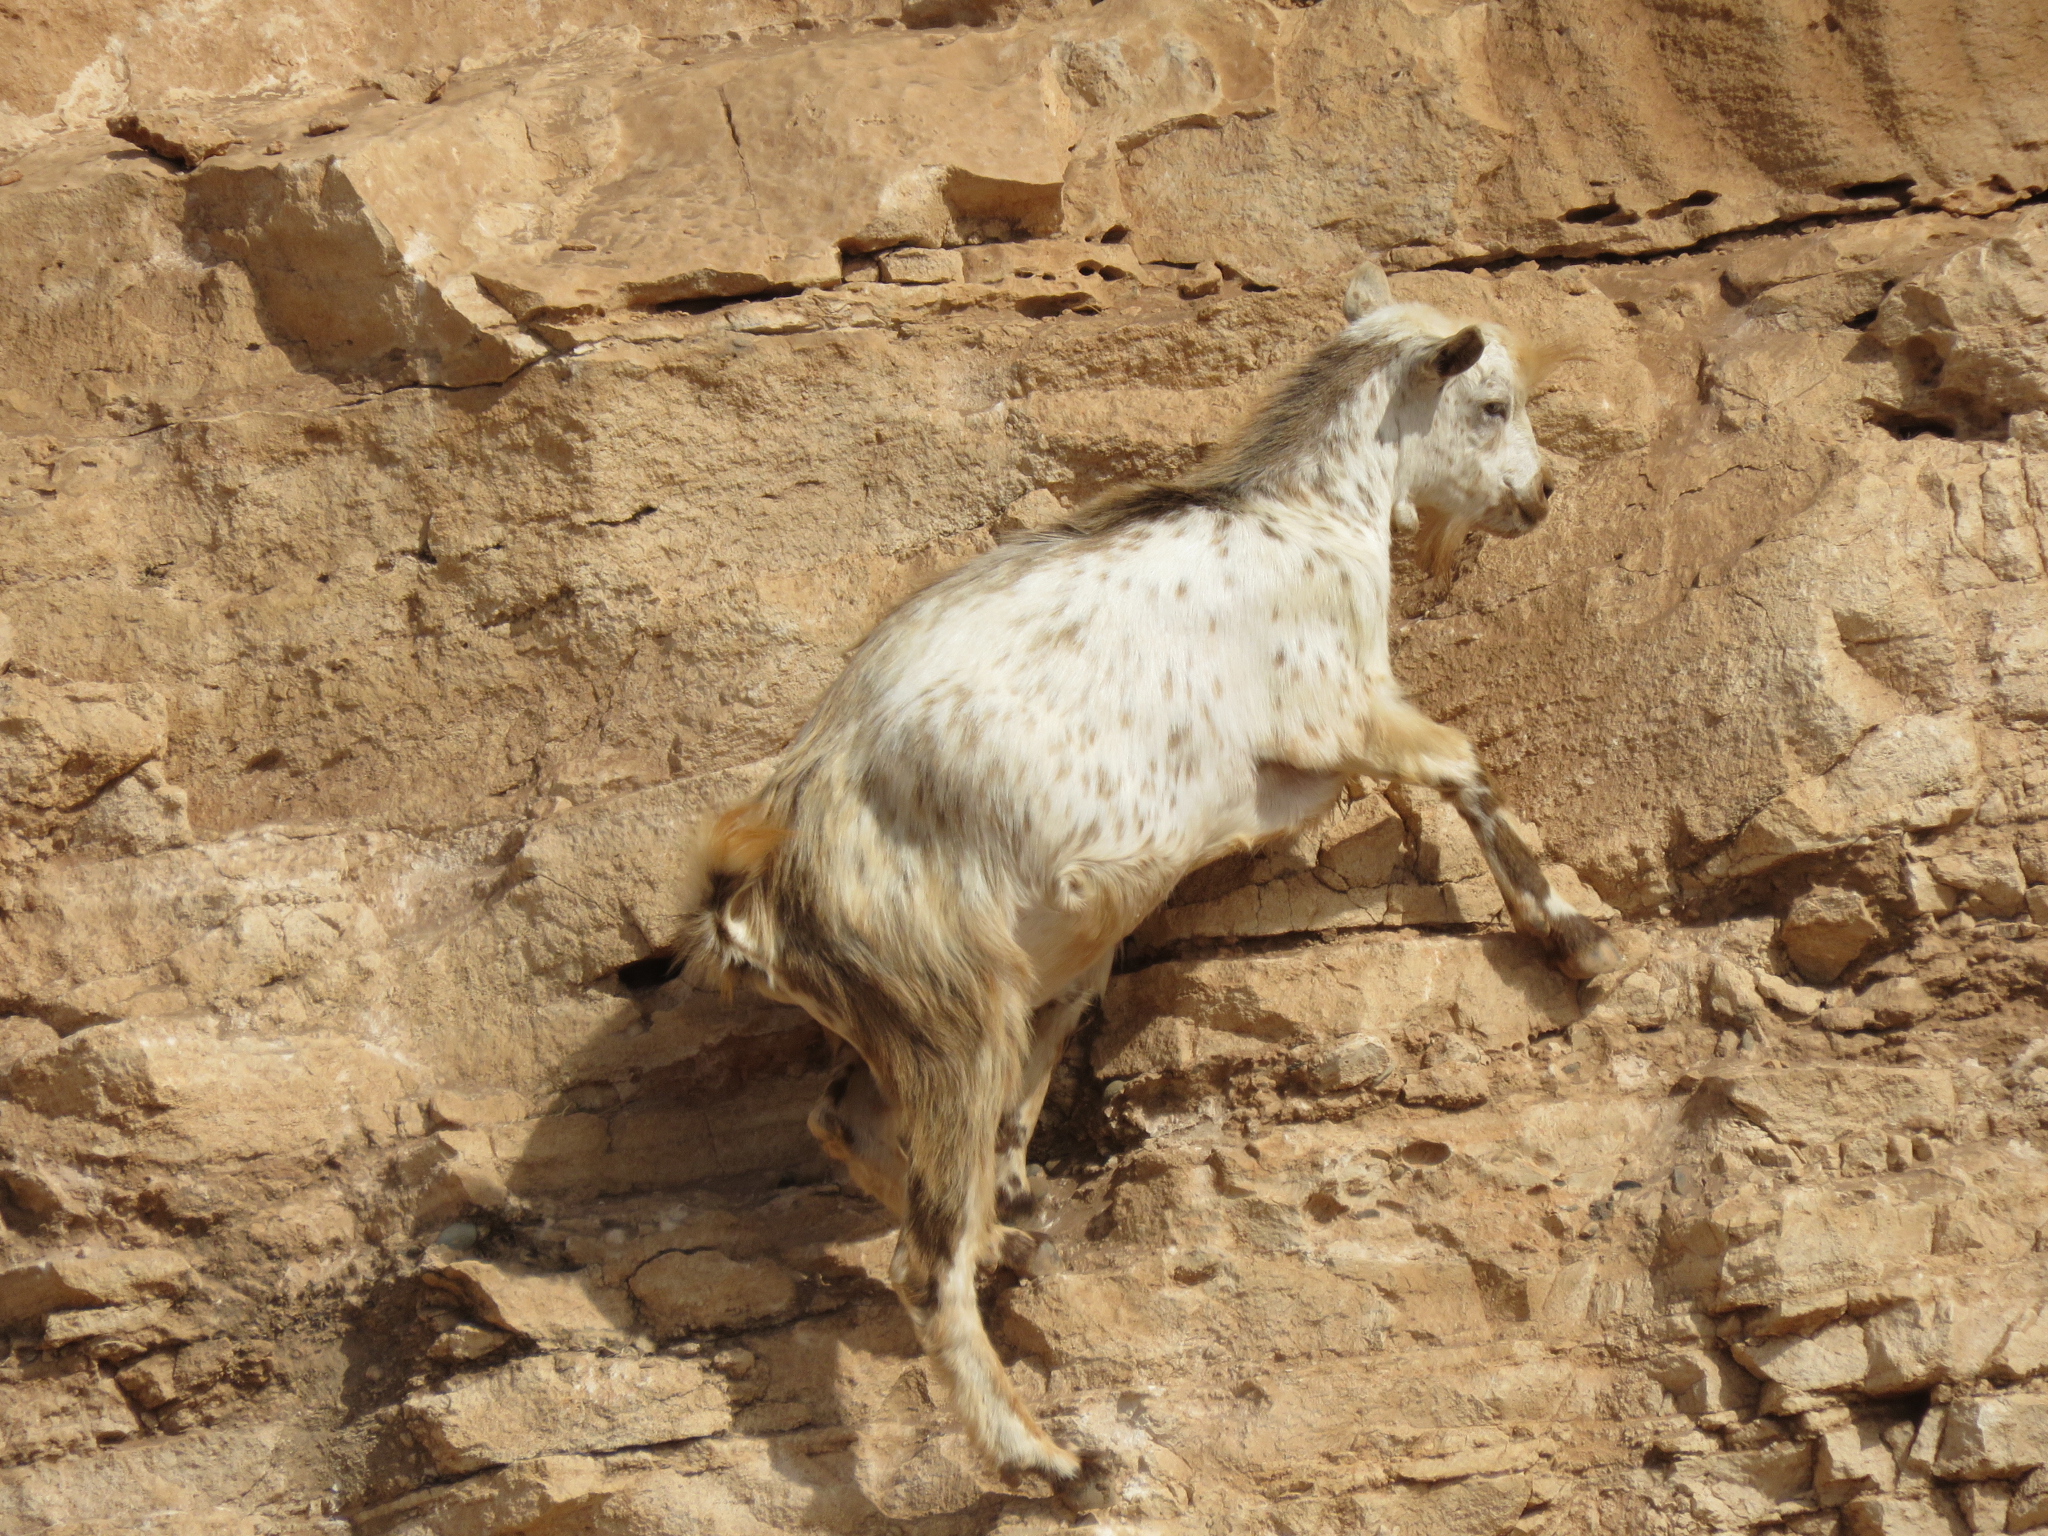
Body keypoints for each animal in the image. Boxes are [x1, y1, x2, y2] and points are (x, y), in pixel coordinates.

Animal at [679, 261, 1621, 1490]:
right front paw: (1575, 938)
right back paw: (1041, 1457)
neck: (1308, 513)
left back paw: (1014, 1224)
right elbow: (1462, 766)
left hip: (927, 1006)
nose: (1543, 492)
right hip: (952, 1015)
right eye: (1493, 403)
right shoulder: (1335, 711)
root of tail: (760, 894)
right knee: (919, 1263)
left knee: (853, 1122)